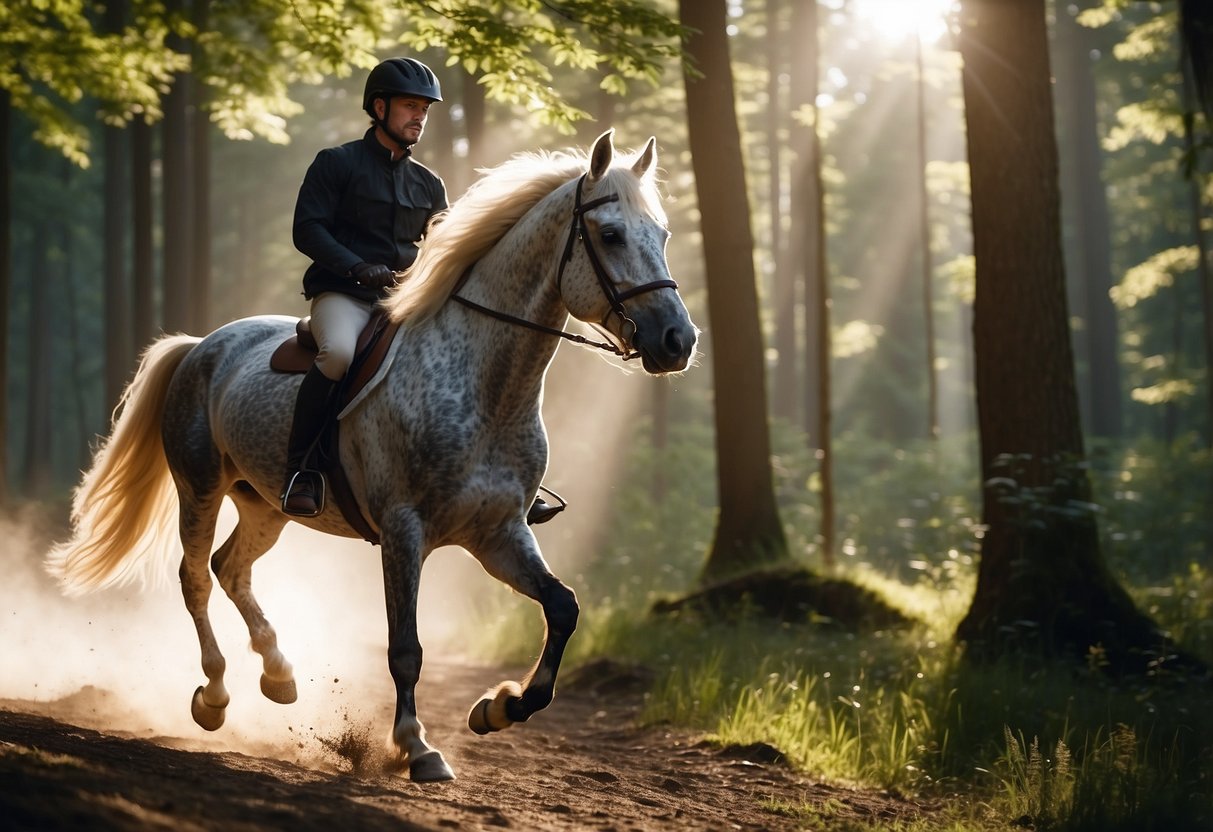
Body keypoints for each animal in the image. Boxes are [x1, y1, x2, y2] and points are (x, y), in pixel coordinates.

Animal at [44, 130, 703, 781]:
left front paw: (499, 707)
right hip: (200, 487)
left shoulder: (498, 533)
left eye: (663, 235)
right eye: (611, 234)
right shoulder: (404, 531)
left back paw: (278, 675)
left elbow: (562, 608)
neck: (487, 387)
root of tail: (201, 345)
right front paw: (416, 746)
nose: (678, 340)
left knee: (232, 567)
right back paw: (215, 695)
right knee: (196, 579)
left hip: (266, 506)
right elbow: (406, 647)